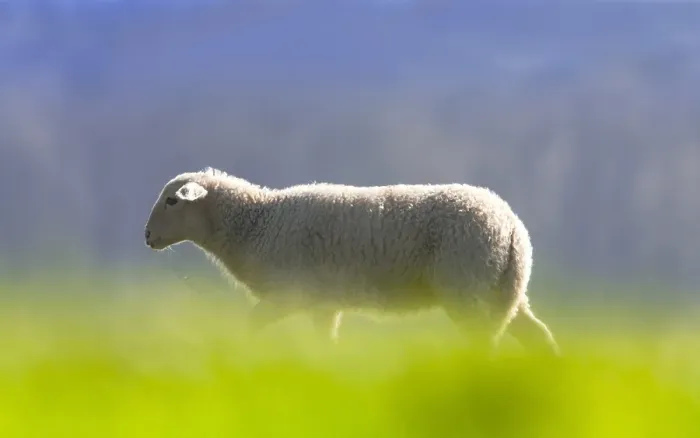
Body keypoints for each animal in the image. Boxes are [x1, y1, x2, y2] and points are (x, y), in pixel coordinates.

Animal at [144, 167, 560, 356]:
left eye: (173, 201)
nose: (147, 237)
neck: (256, 222)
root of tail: (510, 227)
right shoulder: (323, 303)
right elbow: (325, 343)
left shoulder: (289, 294)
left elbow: (252, 324)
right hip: (504, 289)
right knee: (537, 335)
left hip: (468, 287)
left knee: (485, 342)